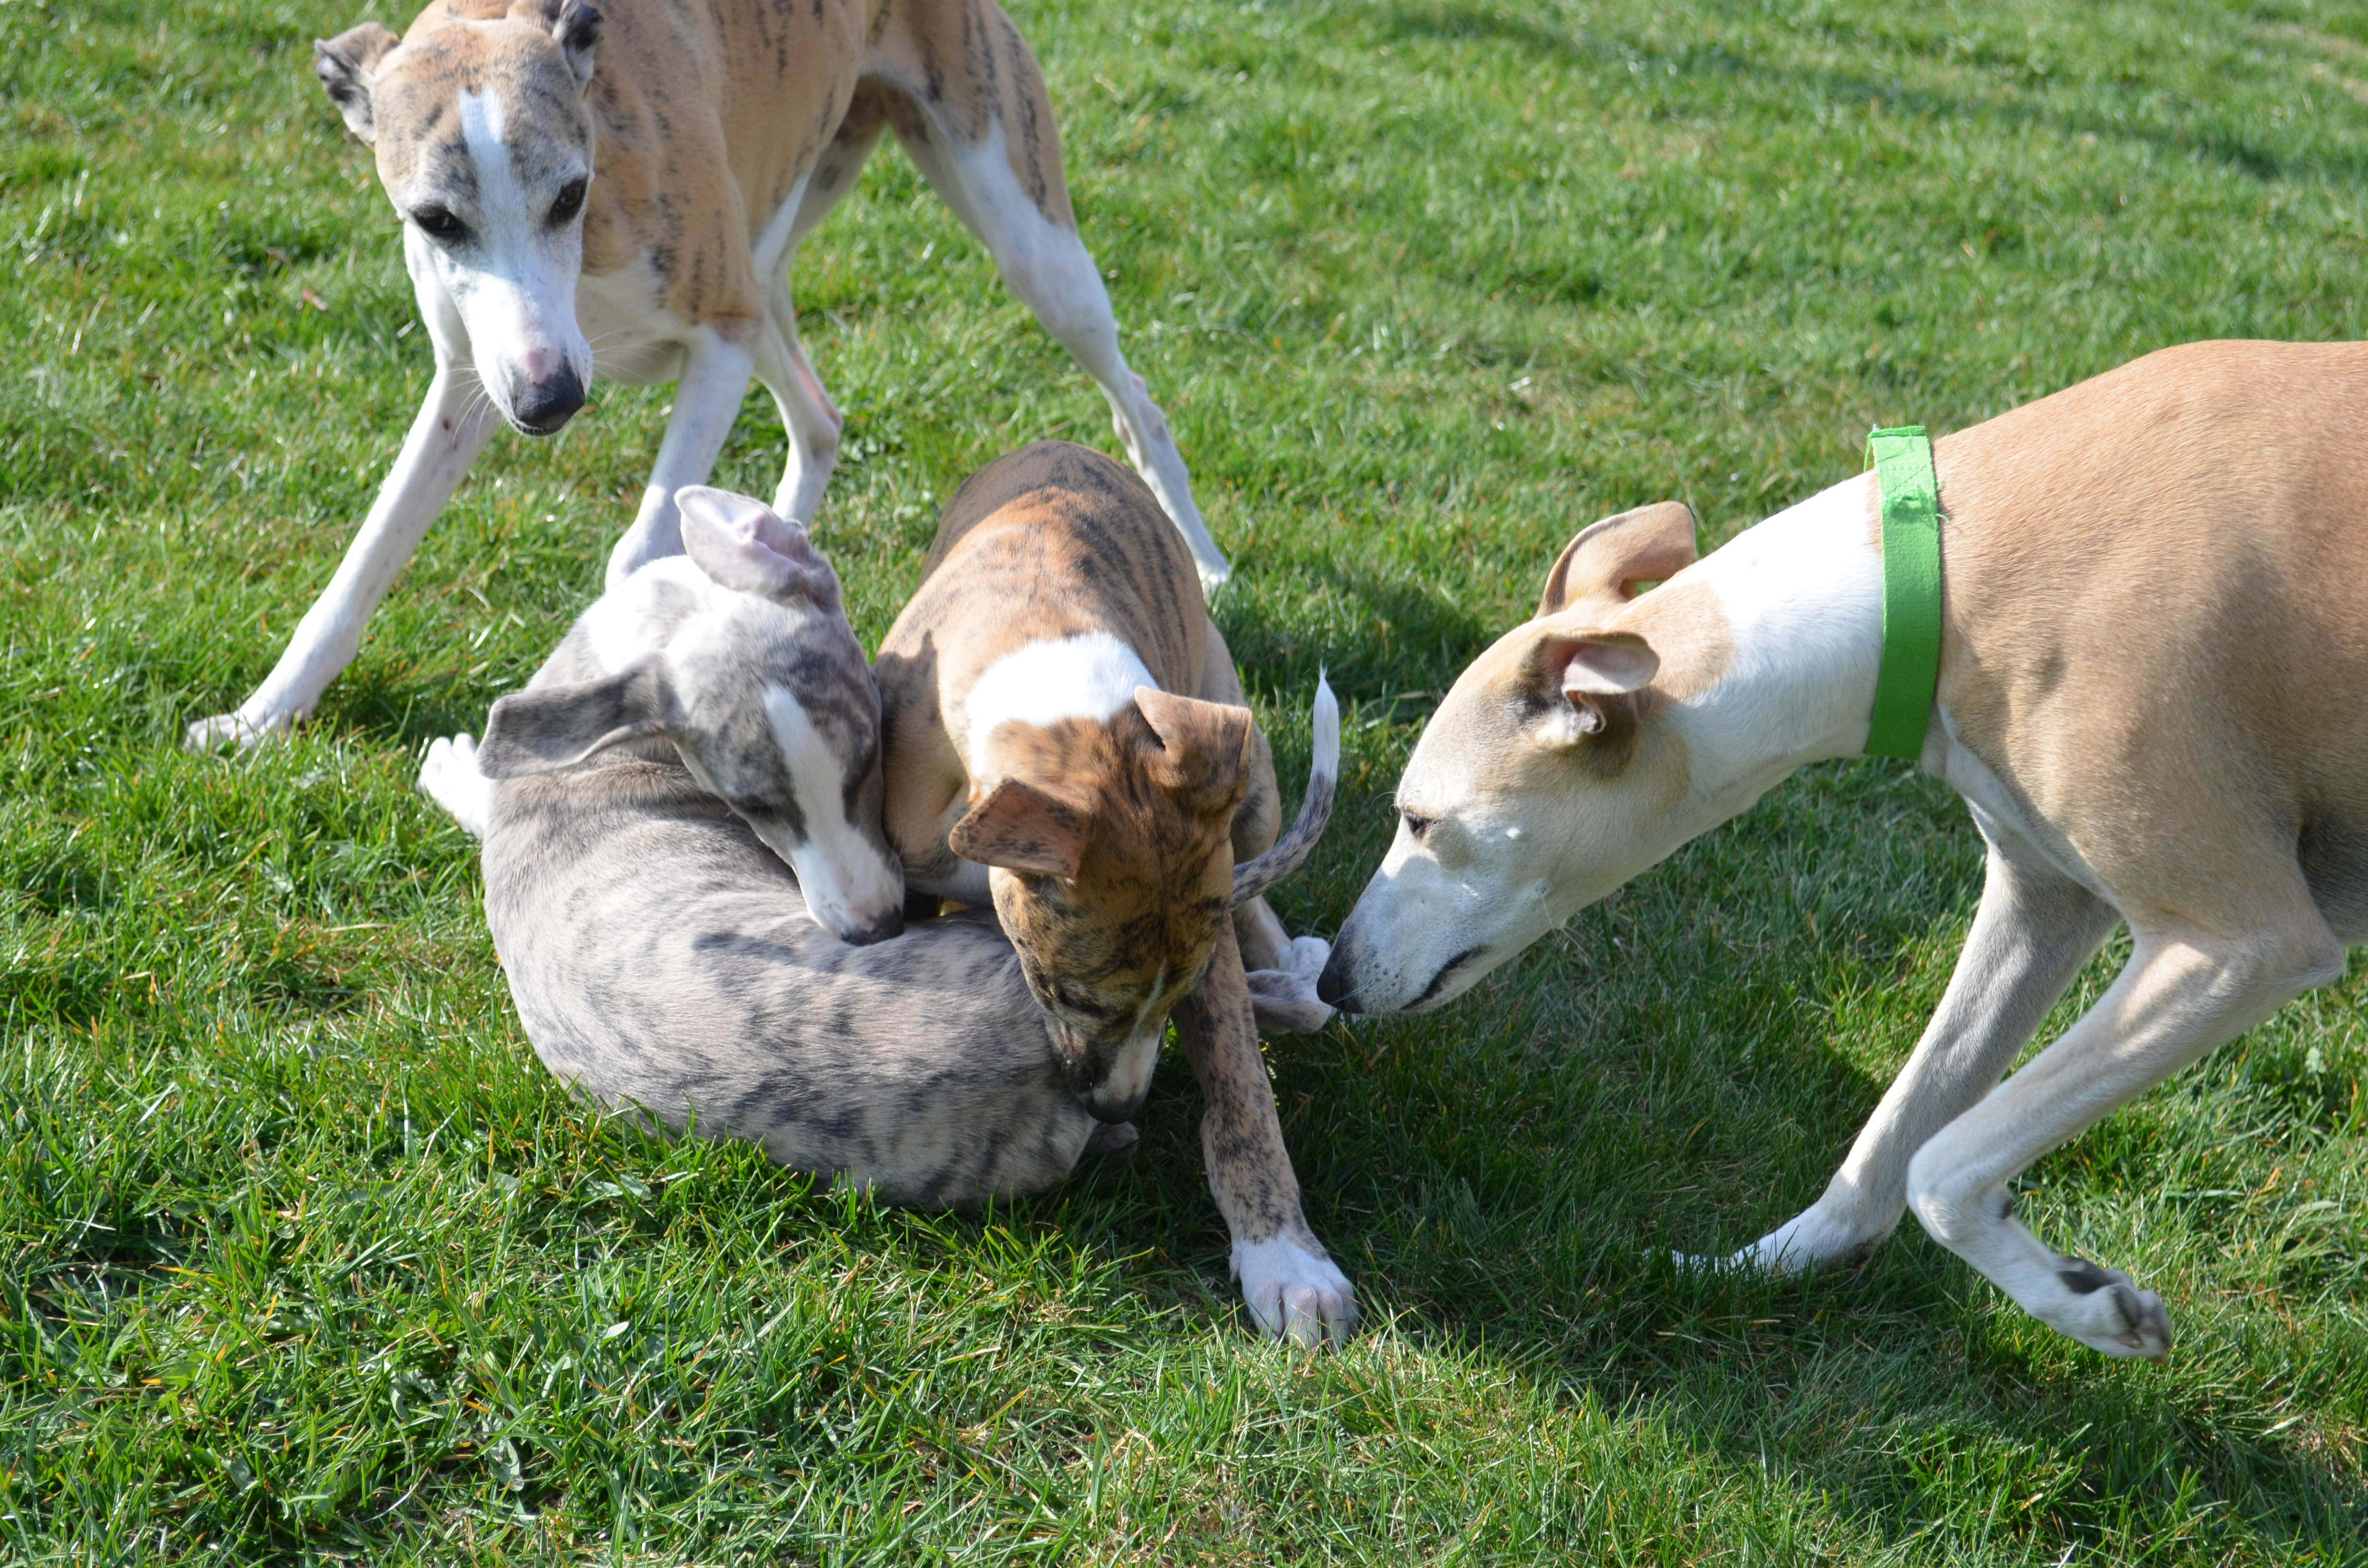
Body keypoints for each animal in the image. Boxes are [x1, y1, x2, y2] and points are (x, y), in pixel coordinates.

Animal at [189, 0, 1228, 751]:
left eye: (569, 194)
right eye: (436, 220)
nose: (553, 403)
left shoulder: (716, 338)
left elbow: (636, 549)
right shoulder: (472, 379)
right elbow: (364, 561)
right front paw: (259, 717)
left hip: (1022, 239)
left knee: (1138, 406)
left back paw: (1209, 562)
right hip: (767, 267)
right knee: (820, 416)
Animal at [874, 441, 1354, 1346]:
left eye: (1176, 994)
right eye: (1067, 994)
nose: (1120, 1103)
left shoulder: (1205, 931)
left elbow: (1241, 1090)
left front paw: (1286, 1258)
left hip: (1246, 763)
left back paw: (1298, 971)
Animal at [1318, 340, 2368, 1361]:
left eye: (1420, 821)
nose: (1330, 980)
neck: (1927, 574)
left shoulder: (2237, 943)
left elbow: (1941, 1164)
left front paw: (2086, 1302)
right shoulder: (2042, 897)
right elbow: (1895, 1138)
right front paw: (1749, 1273)